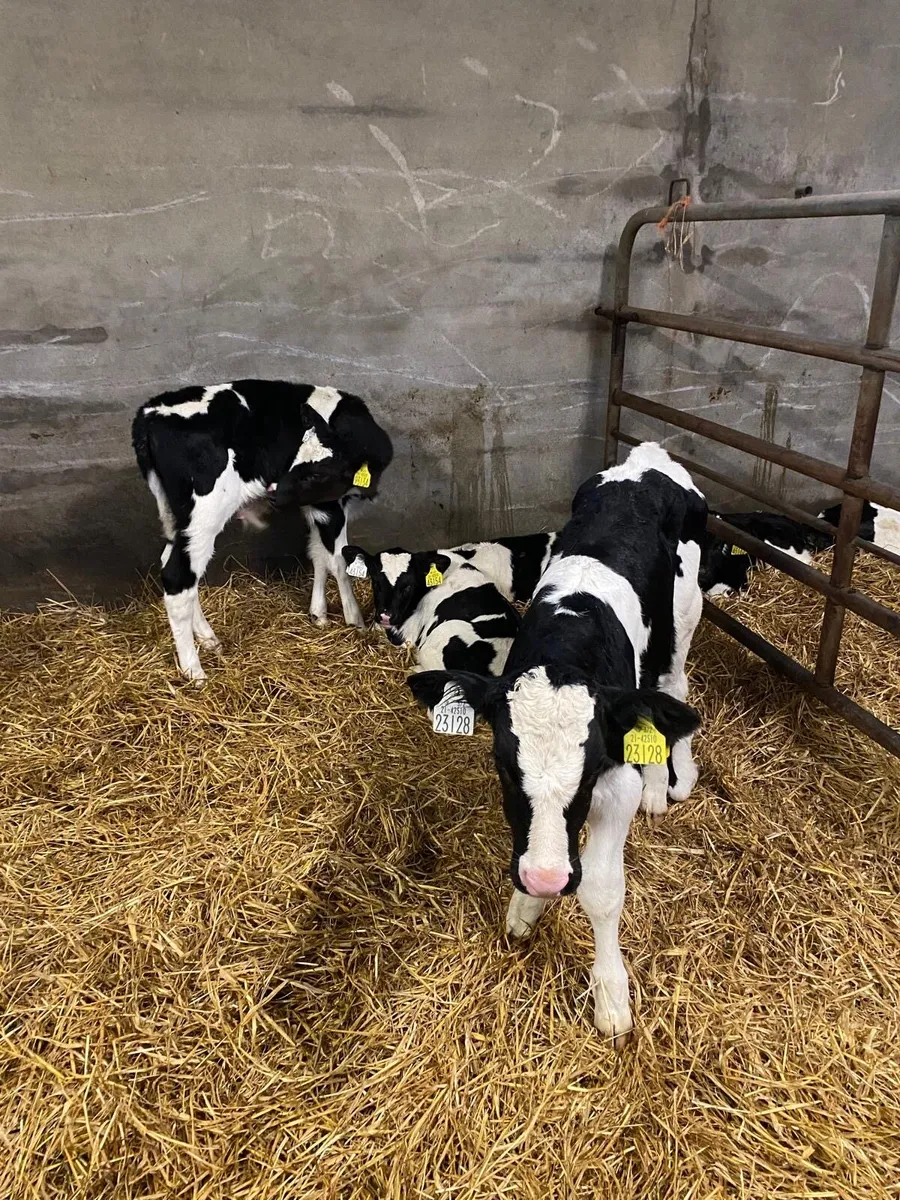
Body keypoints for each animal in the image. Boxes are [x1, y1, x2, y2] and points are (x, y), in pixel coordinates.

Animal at [132, 380, 392, 680]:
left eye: (317, 473)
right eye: (296, 460)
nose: (273, 491)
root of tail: (148, 412)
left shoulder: (313, 503)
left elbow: (318, 554)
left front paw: (319, 614)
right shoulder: (329, 505)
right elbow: (338, 559)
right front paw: (356, 621)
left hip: (176, 514)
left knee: (177, 566)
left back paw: (208, 638)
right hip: (205, 512)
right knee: (178, 576)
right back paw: (194, 671)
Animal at [407, 442, 705, 1044]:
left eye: (588, 773)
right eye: (502, 766)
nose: (546, 879)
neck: (571, 632)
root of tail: (649, 455)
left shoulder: (615, 783)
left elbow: (602, 889)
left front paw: (611, 996)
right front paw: (526, 905)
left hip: (683, 616)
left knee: (671, 685)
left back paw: (671, 780)